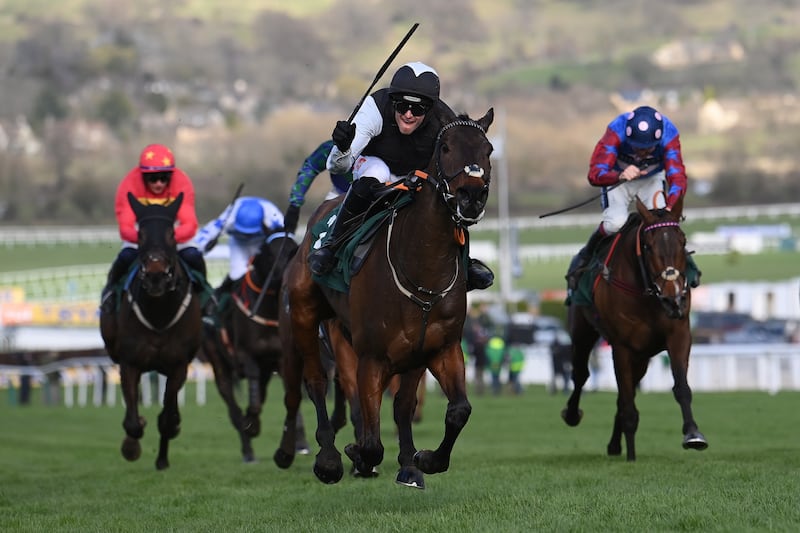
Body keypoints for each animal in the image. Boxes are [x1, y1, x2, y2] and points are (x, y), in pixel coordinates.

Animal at [99, 191, 203, 470]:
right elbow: (133, 422)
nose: (156, 276)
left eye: (172, 234)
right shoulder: (129, 363)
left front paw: (163, 457)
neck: (159, 315)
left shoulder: (178, 365)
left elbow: (166, 418)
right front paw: (131, 447)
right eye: (141, 234)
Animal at [198, 232, 302, 462]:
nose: (286, 275)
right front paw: (251, 427)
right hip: (218, 363)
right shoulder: (247, 356)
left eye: (293, 249)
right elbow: (252, 404)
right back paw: (247, 449)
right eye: (271, 252)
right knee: (232, 408)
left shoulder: (279, 360)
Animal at [276, 107, 494, 486]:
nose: (472, 196)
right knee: (315, 382)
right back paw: (328, 459)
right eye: (446, 147)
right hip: (304, 315)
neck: (423, 268)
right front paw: (356, 455)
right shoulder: (373, 357)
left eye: (488, 150)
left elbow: (455, 410)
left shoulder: (438, 348)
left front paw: (424, 460)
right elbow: (371, 442)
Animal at [564, 193, 708, 460]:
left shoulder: (678, 334)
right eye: (648, 246)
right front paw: (631, 456)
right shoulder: (621, 346)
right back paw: (572, 414)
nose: (673, 298)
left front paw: (693, 434)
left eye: (682, 242)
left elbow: (681, 387)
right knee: (580, 375)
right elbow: (627, 401)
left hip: (642, 356)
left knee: (624, 394)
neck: (646, 291)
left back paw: (614, 445)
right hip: (582, 331)